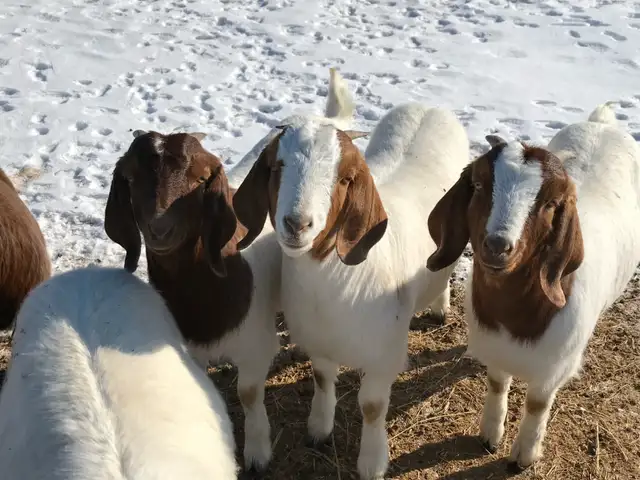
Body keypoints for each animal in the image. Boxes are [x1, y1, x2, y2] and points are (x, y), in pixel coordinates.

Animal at [104, 130, 281, 471]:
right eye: (129, 178)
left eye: (200, 180)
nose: (159, 229)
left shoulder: (256, 344)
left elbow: (248, 392)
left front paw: (257, 453)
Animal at [232, 68, 470, 479]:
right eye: (277, 166)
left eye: (344, 179)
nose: (297, 224)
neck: (330, 279)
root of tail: (429, 106)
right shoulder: (320, 341)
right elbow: (322, 378)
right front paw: (319, 429)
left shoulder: (384, 355)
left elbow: (372, 407)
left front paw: (372, 462)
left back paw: (440, 306)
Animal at [426, 103, 640, 470]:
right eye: (479, 185)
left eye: (551, 204)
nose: (497, 246)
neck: (514, 316)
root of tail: (602, 124)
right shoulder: (495, 348)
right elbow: (497, 383)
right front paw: (490, 435)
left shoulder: (553, 369)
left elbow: (537, 405)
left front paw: (524, 456)